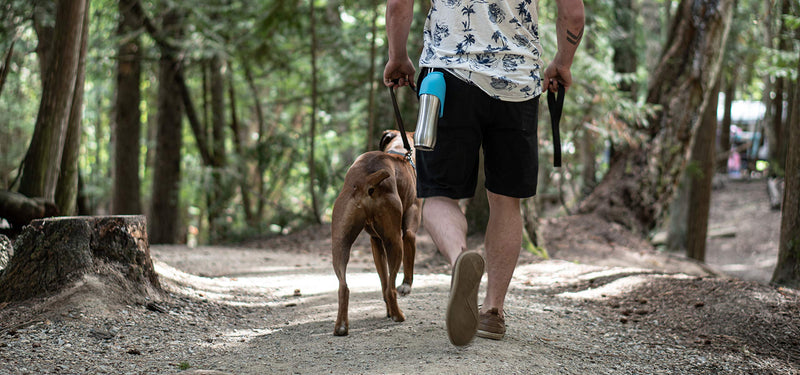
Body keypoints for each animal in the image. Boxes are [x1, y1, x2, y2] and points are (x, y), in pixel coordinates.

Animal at [332, 131, 422, 336]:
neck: (399, 152)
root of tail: (366, 180)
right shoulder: (409, 232)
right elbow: (405, 269)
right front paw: (406, 286)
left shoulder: (375, 242)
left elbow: (383, 280)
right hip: (395, 242)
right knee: (391, 288)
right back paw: (398, 316)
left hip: (339, 244)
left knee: (344, 287)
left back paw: (341, 326)